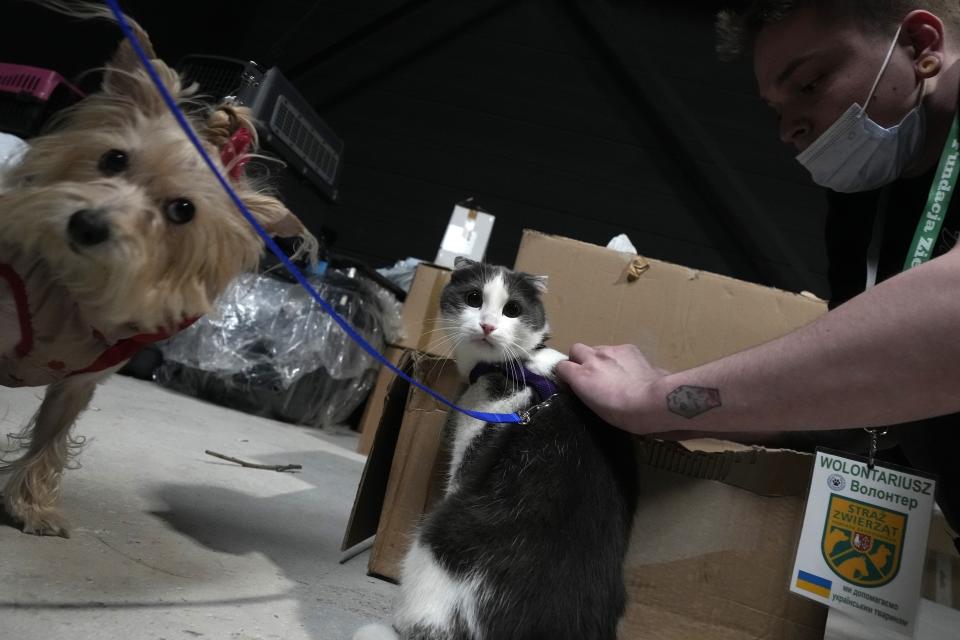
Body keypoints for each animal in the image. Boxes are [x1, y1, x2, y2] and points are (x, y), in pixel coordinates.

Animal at [0, 2, 316, 536]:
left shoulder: (78, 381)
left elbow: (50, 437)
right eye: (113, 159)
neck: (70, 292)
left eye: (183, 211)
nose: (87, 224)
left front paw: (31, 507)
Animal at [352, 258, 636, 640]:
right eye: (474, 298)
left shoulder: (471, 450)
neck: (520, 367)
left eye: (512, 309)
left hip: (439, 537)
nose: (487, 325)